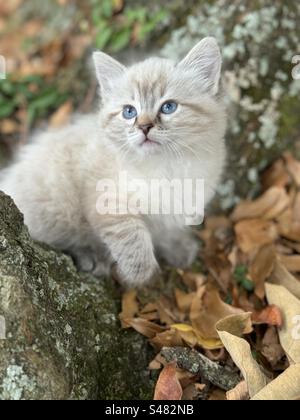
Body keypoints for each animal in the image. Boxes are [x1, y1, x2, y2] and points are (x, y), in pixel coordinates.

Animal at [0, 37, 225, 288]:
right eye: (129, 112)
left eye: (168, 107)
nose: (144, 127)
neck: (165, 167)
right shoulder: (106, 201)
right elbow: (131, 238)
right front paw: (140, 277)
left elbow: (167, 231)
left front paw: (180, 250)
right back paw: (91, 257)